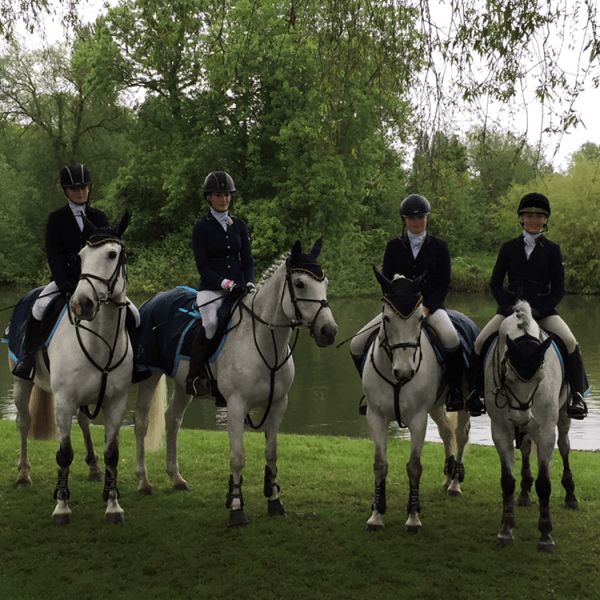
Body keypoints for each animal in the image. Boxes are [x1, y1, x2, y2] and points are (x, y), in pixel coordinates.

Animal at [7, 214, 134, 524]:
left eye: (112, 254)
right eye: (81, 256)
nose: (82, 304)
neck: (100, 340)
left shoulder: (116, 402)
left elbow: (112, 453)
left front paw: (113, 504)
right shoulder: (63, 401)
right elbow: (64, 454)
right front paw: (62, 507)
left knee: (85, 422)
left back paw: (94, 469)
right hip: (21, 384)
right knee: (24, 423)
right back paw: (23, 475)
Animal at [134, 237, 338, 528]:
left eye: (326, 282)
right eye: (299, 284)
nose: (328, 332)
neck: (264, 340)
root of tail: (154, 298)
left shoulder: (278, 403)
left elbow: (271, 453)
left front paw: (274, 502)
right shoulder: (235, 406)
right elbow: (238, 458)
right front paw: (236, 509)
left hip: (184, 385)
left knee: (172, 420)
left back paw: (176, 477)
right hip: (149, 375)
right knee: (141, 423)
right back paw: (144, 481)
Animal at [364, 270, 472, 532]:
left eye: (419, 320)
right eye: (387, 318)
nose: (404, 372)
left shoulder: (417, 419)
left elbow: (414, 467)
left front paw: (413, 517)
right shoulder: (376, 417)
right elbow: (380, 465)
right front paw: (376, 514)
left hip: (463, 402)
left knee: (460, 435)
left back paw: (455, 483)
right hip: (436, 406)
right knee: (446, 432)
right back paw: (448, 475)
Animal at [482, 300, 576, 552]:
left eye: (541, 377)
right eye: (507, 378)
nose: (522, 417)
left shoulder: (546, 432)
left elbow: (544, 484)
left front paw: (545, 534)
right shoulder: (501, 431)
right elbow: (507, 481)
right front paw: (506, 530)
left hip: (563, 417)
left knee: (565, 446)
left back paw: (570, 495)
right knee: (524, 449)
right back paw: (524, 493)